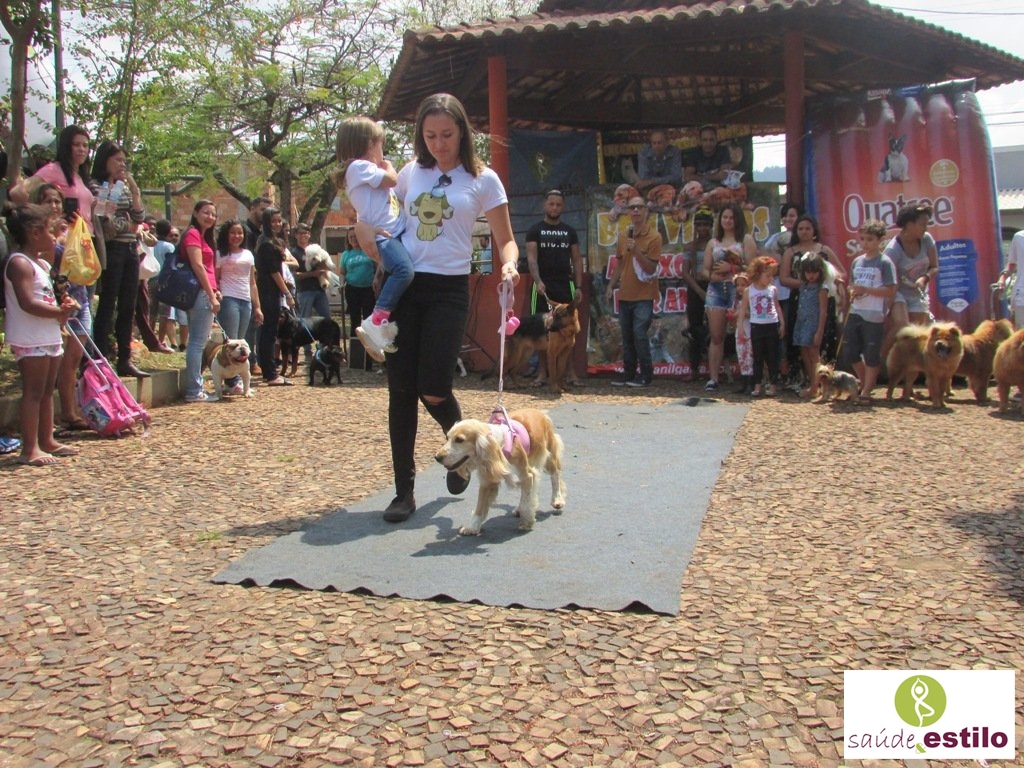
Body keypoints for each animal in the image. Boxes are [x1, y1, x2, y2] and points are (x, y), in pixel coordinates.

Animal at [435, 408, 566, 536]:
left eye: (459, 440)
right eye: (448, 438)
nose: (437, 457)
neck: (499, 447)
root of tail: (540, 412)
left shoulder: (527, 475)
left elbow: (527, 501)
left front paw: (527, 521)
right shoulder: (487, 481)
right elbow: (480, 506)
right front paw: (472, 527)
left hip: (549, 456)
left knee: (555, 475)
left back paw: (557, 499)